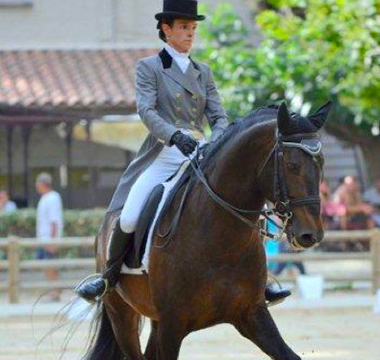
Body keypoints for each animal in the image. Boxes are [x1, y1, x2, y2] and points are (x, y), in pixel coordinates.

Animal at [83, 100, 330, 360]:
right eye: (292, 165)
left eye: (321, 163)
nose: (310, 234)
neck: (220, 241)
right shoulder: (172, 325)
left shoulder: (252, 314)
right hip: (121, 311)